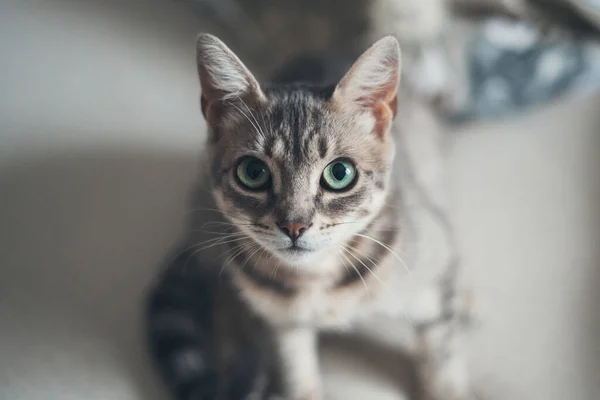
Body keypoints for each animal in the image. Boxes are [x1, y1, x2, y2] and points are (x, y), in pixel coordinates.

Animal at [146, 34, 474, 400]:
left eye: (340, 173)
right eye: (253, 172)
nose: (294, 225)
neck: (317, 281)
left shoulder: (433, 271)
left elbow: (444, 352)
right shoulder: (280, 325)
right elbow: (294, 372)